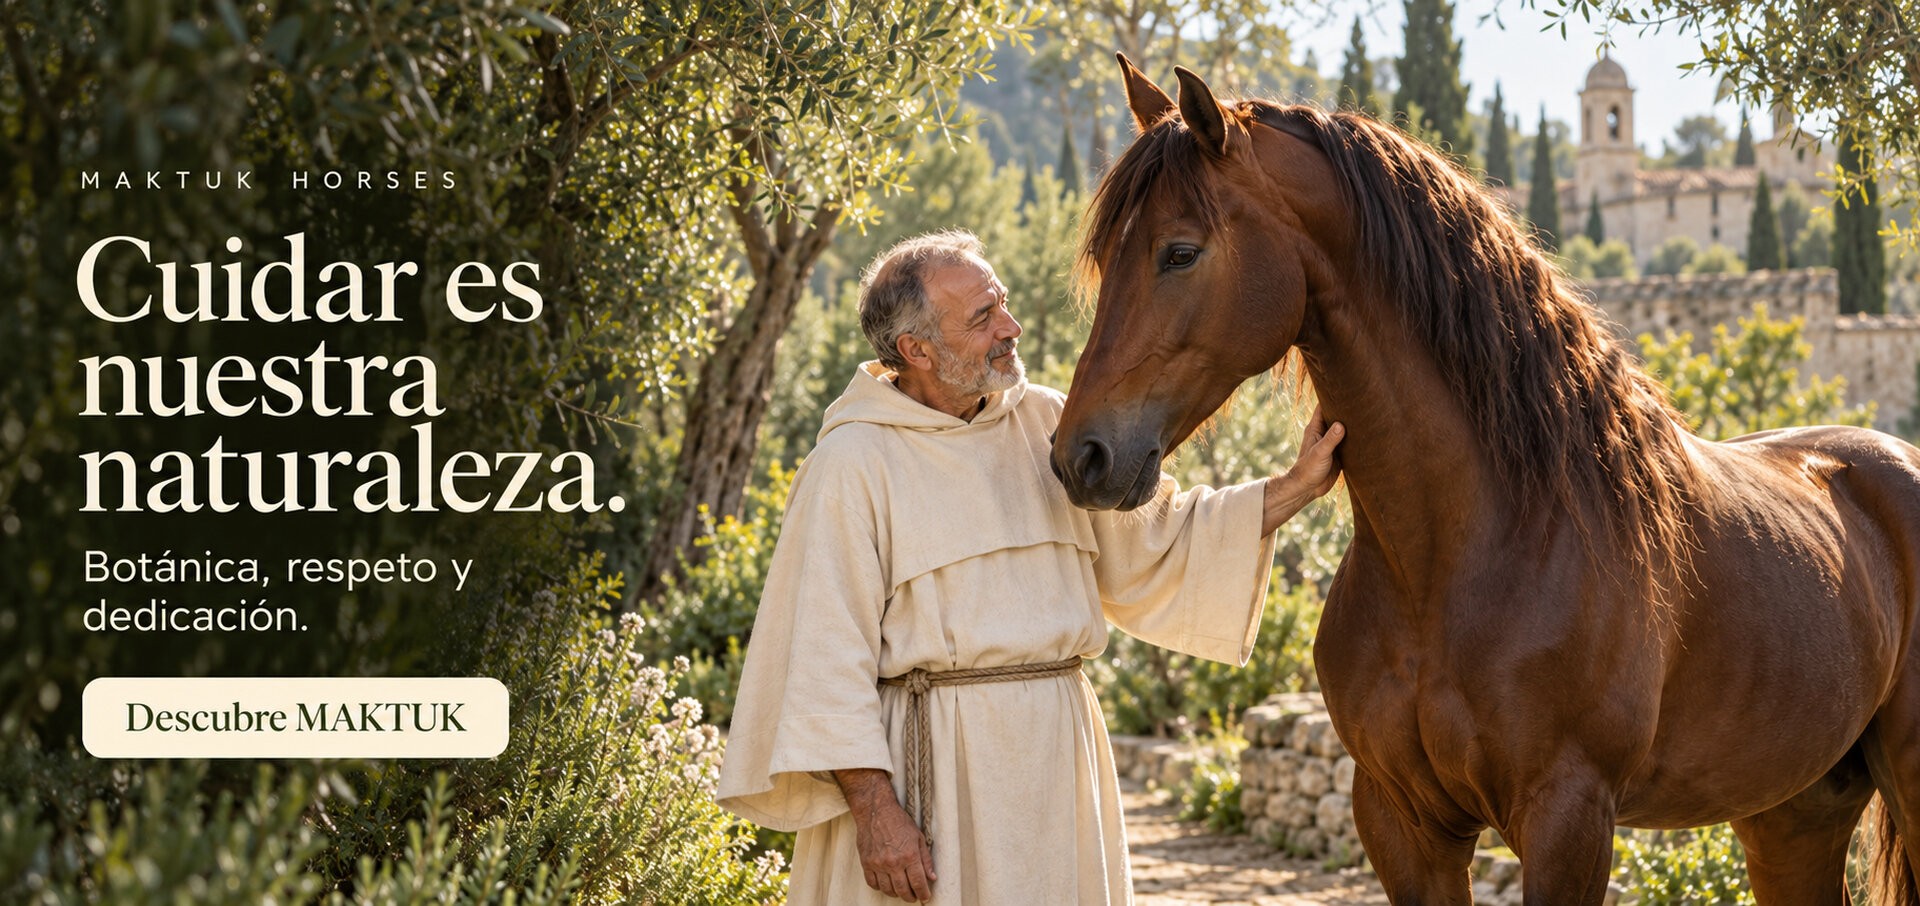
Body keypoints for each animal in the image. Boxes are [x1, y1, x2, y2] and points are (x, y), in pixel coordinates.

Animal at [1050, 55, 1920, 905]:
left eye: (1180, 251)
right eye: (1105, 255)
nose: (1079, 455)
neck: (1469, 550)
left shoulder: (1568, 817)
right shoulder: (1400, 821)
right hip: (1791, 812)